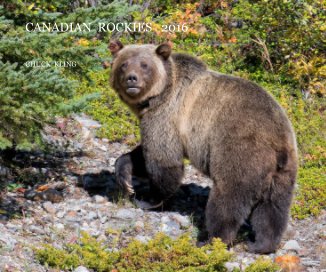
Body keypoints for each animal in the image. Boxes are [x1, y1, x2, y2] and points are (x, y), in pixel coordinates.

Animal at [109, 41, 298, 254]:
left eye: (144, 65)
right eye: (124, 64)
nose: (131, 78)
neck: (157, 96)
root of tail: (278, 141)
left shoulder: (166, 115)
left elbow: (163, 160)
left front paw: (148, 199)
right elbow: (143, 154)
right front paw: (125, 177)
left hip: (240, 150)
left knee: (227, 198)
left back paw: (211, 239)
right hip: (282, 171)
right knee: (273, 207)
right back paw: (260, 244)